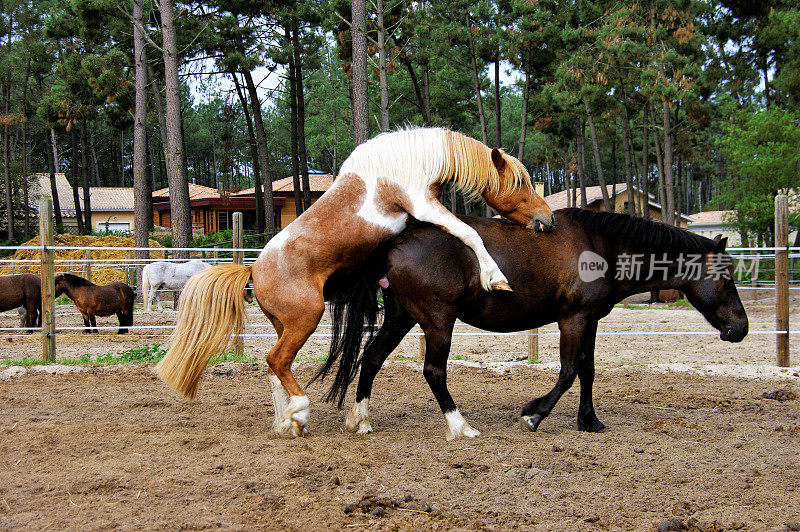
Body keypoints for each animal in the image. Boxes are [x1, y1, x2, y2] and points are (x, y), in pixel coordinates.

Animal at [157, 128, 556, 436]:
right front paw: (497, 279)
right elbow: (469, 233)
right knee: (276, 361)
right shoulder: (424, 206)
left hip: (284, 325)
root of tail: (253, 271)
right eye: (520, 182)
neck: (406, 162)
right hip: (305, 320)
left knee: (274, 369)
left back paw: (288, 423)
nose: (548, 220)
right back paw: (300, 411)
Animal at [318, 209, 752, 440]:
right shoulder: (573, 320)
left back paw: (361, 420)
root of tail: (396, 243)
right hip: (437, 321)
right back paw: (460, 426)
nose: (741, 329)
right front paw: (534, 414)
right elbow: (569, 371)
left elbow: (588, 371)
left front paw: (589, 420)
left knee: (372, 359)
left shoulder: (590, 321)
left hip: (402, 317)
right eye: (726, 278)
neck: (602, 248)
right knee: (433, 370)